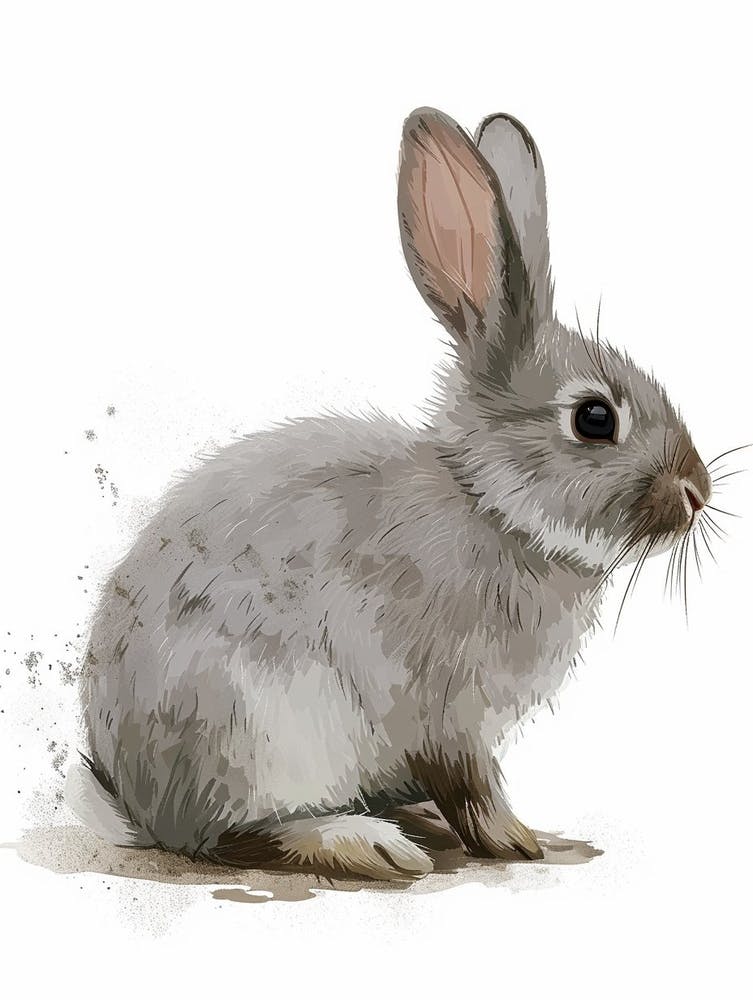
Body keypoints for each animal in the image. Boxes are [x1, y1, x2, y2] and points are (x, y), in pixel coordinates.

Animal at [66, 107, 712, 880]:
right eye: (594, 419)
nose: (697, 492)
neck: (491, 508)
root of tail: (136, 802)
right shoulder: (448, 714)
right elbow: (472, 786)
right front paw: (517, 840)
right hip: (257, 730)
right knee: (233, 840)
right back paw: (363, 842)